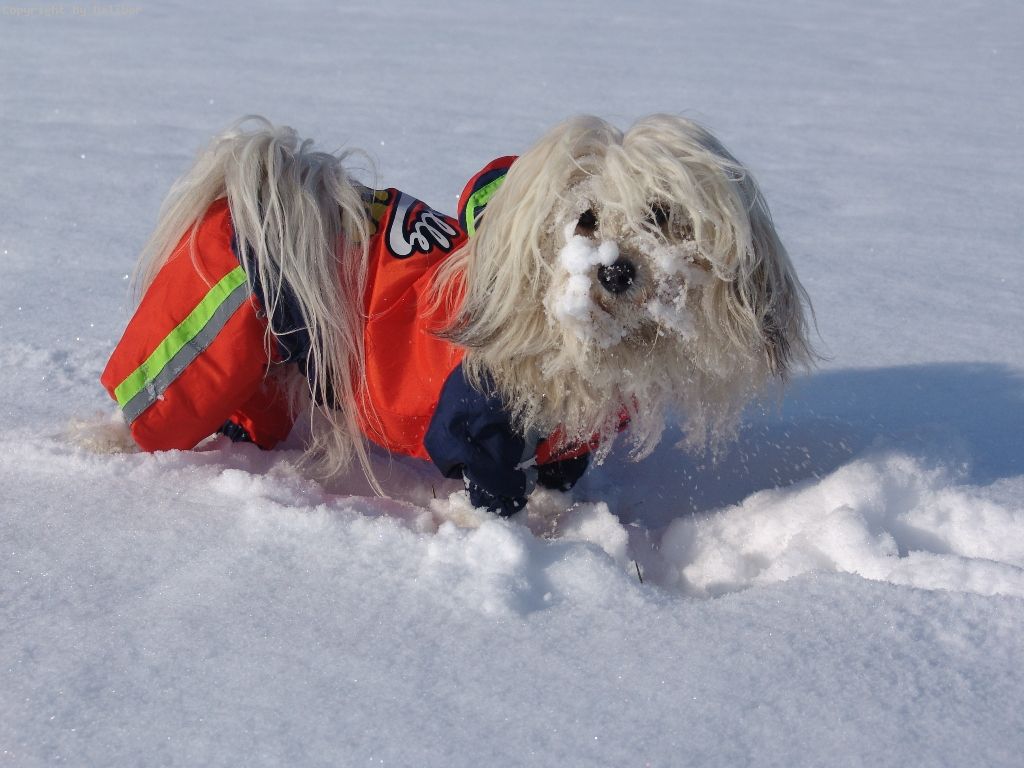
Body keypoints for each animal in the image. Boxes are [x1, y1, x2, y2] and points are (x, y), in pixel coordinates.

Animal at [100, 114, 811, 515]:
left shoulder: (567, 450)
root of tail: (244, 193)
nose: (615, 270)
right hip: (202, 348)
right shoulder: (476, 433)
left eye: (662, 215)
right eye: (584, 219)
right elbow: (493, 496)